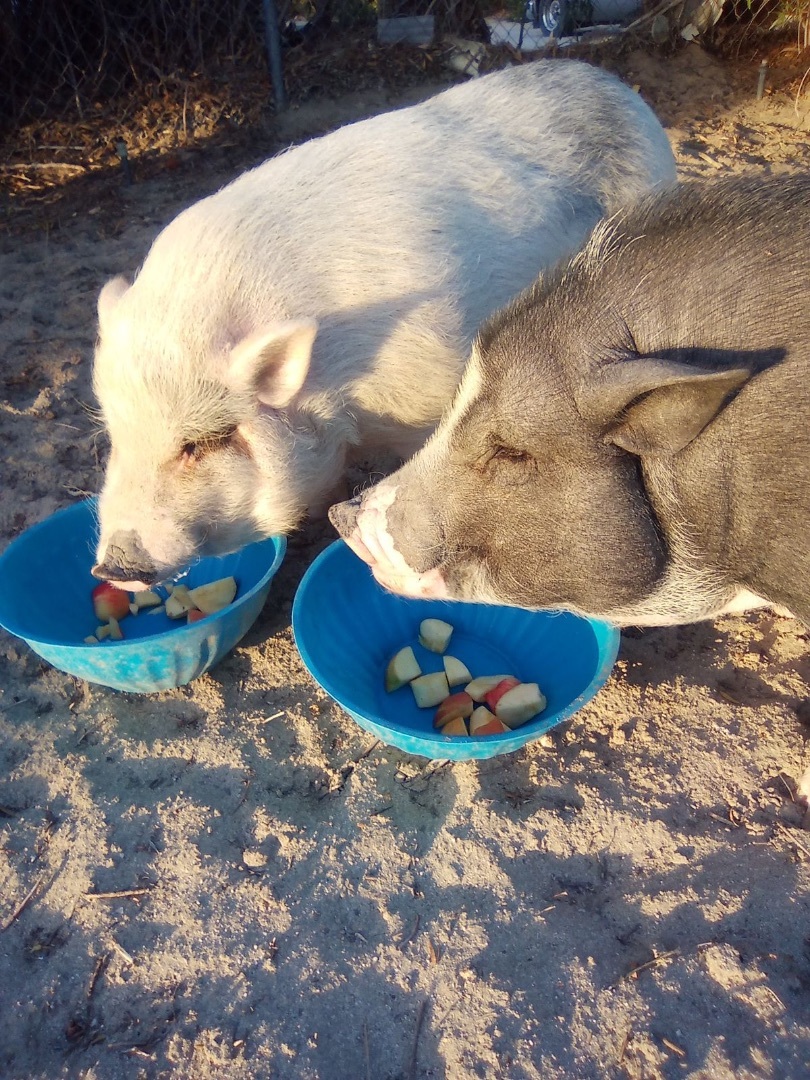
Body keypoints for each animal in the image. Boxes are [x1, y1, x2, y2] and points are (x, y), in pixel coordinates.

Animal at [91, 59, 676, 587]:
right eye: (117, 431)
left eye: (197, 444)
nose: (110, 567)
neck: (342, 399)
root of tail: (616, 86)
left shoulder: (431, 389)